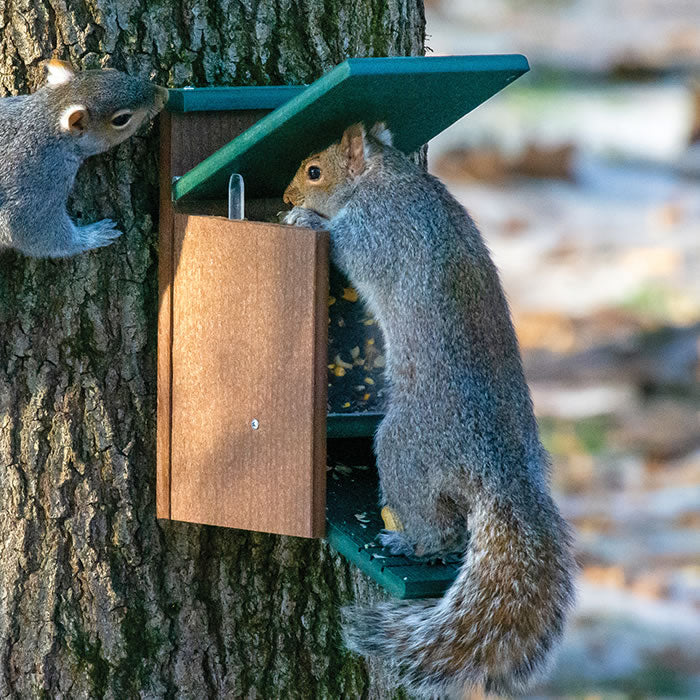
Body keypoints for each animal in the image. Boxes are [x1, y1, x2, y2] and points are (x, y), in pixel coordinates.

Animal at [0, 59, 168, 258]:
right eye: (121, 119)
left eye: (111, 70)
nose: (164, 95)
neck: (43, 118)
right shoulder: (39, 176)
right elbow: (27, 227)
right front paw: (94, 235)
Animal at [282, 123, 576, 696]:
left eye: (314, 171)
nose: (285, 198)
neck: (388, 178)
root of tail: (502, 471)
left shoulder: (379, 231)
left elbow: (349, 245)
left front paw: (309, 220)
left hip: (405, 448)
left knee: (436, 525)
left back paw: (404, 541)